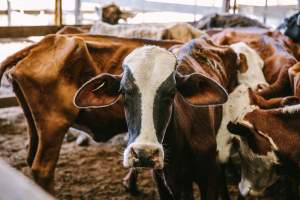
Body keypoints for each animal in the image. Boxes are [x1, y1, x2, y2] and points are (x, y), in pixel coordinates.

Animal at [0, 33, 180, 193]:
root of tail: (42, 43)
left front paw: (130, 183)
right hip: (54, 124)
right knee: (43, 169)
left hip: (33, 122)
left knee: (31, 158)